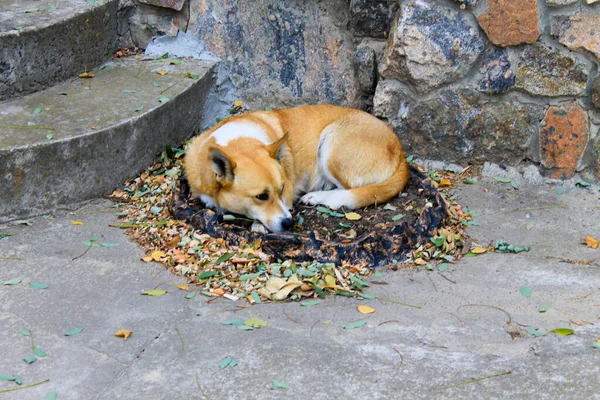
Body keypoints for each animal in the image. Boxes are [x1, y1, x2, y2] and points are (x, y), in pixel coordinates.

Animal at [184, 104, 408, 233]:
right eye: (261, 196)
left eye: (282, 189)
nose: (288, 224)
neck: (236, 142)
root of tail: (401, 152)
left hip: (330, 149)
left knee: (349, 190)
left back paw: (318, 197)